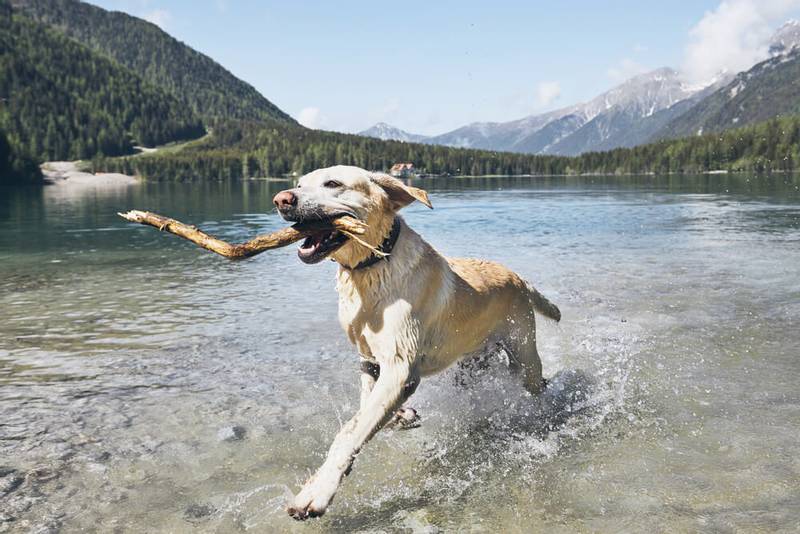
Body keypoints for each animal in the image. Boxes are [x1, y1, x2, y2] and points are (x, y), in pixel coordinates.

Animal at [272, 165, 560, 520]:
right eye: (299, 184)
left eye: (333, 183)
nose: (282, 199)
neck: (371, 269)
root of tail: (519, 278)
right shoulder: (369, 361)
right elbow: (364, 410)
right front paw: (400, 417)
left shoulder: (400, 368)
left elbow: (348, 433)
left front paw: (316, 493)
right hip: (471, 366)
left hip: (524, 353)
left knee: (538, 382)